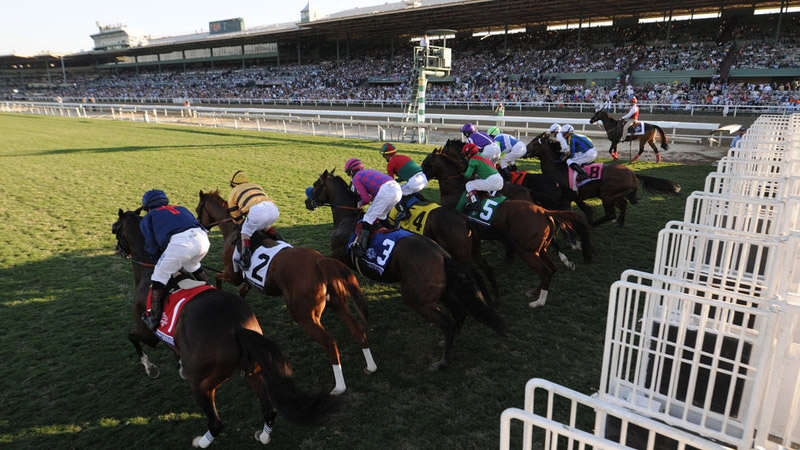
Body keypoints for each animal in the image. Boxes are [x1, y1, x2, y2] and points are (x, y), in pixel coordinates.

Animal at [112, 209, 338, 448]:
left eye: (116, 228)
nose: (118, 249)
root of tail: (236, 326)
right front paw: (176, 363)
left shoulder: (148, 333)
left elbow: (133, 336)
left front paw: (150, 367)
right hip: (253, 368)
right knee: (269, 410)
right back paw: (264, 435)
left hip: (202, 383)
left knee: (216, 422)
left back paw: (201, 442)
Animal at [197, 190, 378, 394]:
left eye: (198, 208)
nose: (201, 225)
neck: (233, 231)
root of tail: (320, 261)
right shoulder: (247, 279)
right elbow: (244, 290)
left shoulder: (232, 274)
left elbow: (219, 277)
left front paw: (217, 292)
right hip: (337, 303)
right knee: (357, 328)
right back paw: (370, 366)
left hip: (305, 316)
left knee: (330, 343)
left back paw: (339, 387)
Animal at [306, 169, 506, 370]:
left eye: (316, 185)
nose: (308, 202)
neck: (347, 220)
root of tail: (442, 255)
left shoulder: (338, 257)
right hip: (448, 287)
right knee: (462, 310)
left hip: (419, 297)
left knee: (450, 321)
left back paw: (441, 362)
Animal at [416, 145, 592, 310]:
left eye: (426, 163)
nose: (419, 179)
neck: (454, 189)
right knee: (550, 260)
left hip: (526, 249)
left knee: (545, 268)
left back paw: (540, 297)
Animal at [528, 132, 680, 227]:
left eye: (534, 143)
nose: (525, 150)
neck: (557, 169)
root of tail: (632, 173)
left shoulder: (571, 196)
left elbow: (583, 209)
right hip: (614, 195)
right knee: (623, 204)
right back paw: (619, 222)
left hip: (607, 195)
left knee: (610, 214)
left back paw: (596, 223)